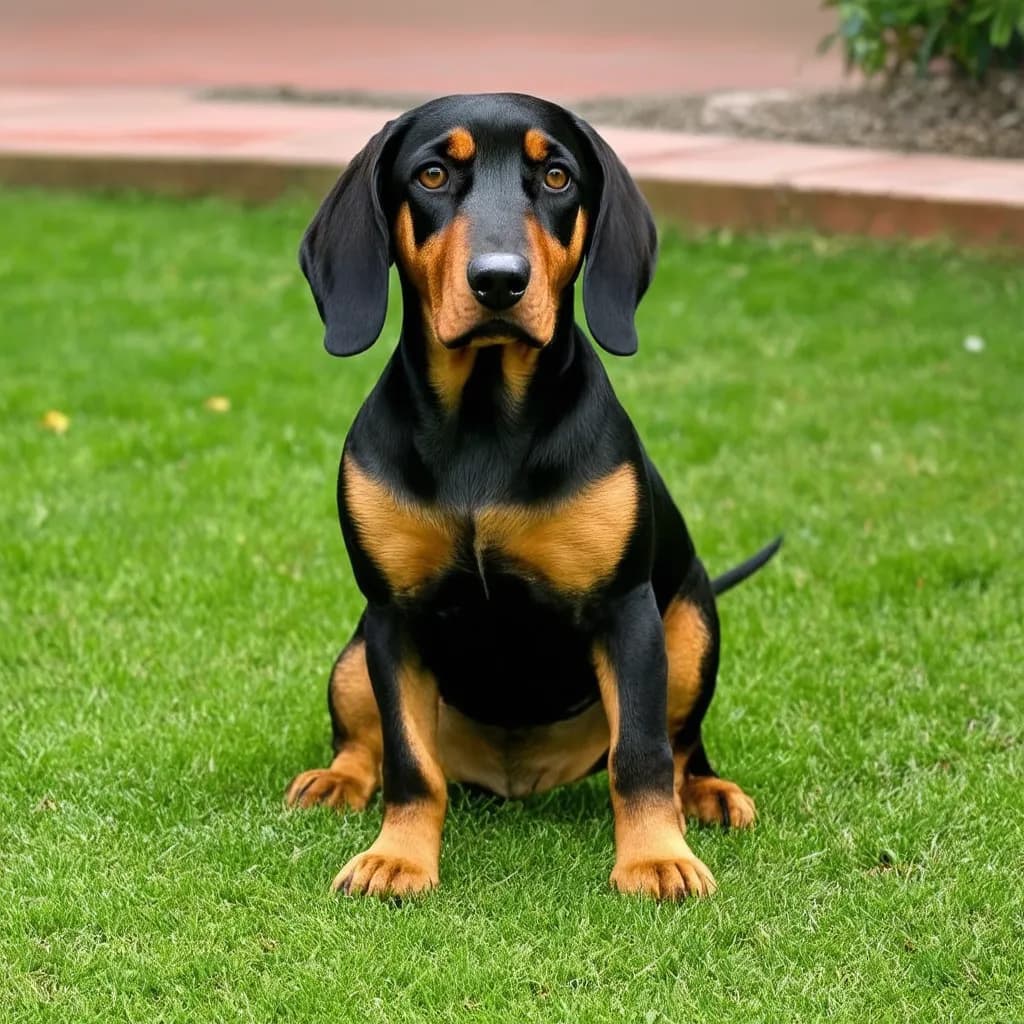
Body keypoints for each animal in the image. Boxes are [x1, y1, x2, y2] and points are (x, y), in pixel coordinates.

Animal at [284, 92, 778, 901]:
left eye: (555, 176)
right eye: (431, 174)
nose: (498, 281)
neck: (485, 421)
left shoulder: (627, 611)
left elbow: (640, 757)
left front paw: (654, 858)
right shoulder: (393, 616)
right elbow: (409, 763)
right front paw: (400, 857)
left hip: (690, 622)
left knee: (679, 746)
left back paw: (704, 794)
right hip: (355, 653)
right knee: (367, 742)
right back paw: (338, 778)